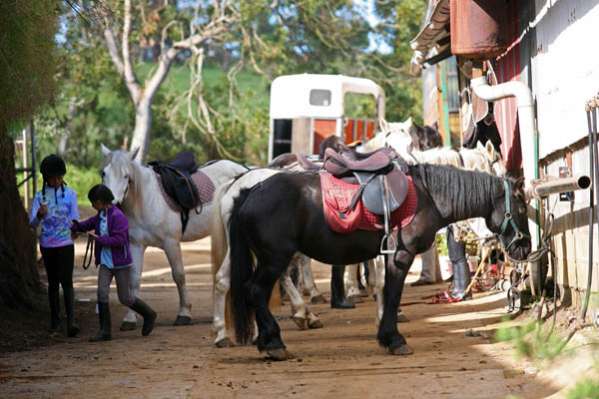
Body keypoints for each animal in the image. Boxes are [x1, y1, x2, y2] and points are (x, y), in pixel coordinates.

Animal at [101, 146, 248, 328]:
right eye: (103, 173)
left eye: (126, 176)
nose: (111, 202)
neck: (146, 201)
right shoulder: (136, 245)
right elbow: (134, 280)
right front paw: (129, 319)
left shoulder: (171, 243)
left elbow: (179, 276)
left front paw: (184, 314)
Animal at [229, 164, 528, 360]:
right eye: (522, 207)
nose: (524, 247)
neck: (428, 196)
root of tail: (250, 191)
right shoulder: (401, 256)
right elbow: (393, 295)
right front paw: (394, 340)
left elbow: (384, 293)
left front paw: (386, 336)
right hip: (274, 259)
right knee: (255, 291)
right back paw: (274, 343)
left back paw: (268, 340)